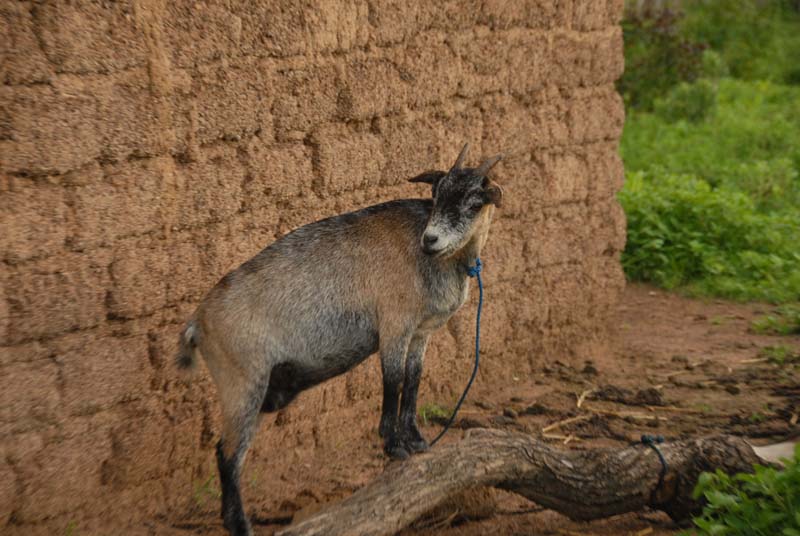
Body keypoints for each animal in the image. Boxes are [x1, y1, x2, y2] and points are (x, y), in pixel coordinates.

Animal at [178, 143, 504, 536]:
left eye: (474, 202)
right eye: (436, 194)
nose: (431, 240)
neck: (430, 259)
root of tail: (198, 323)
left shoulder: (419, 333)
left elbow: (413, 381)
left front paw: (417, 441)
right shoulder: (393, 326)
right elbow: (393, 381)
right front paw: (394, 446)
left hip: (257, 390)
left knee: (224, 451)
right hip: (241, 383)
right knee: (228, 456)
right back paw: (241, 525)